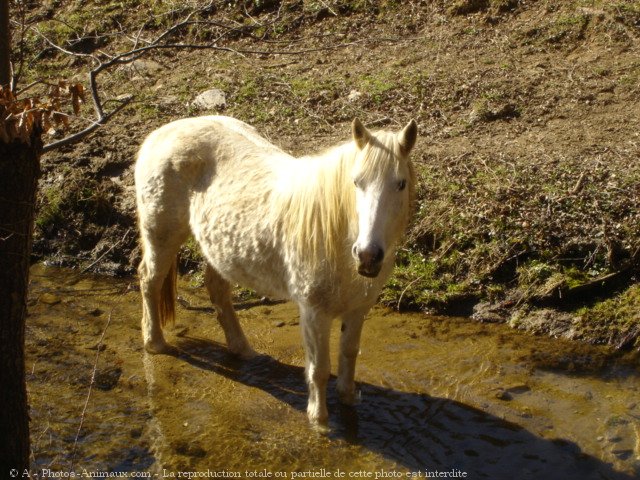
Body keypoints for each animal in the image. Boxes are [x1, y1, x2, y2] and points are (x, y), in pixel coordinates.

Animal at [135, 116, 418, 428]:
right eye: (356, 182)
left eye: (400, 184)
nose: (368, 255)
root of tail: (163, 132)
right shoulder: (314, 312)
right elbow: (319, 368)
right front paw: (319, 420)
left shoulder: (358, 309)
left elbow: (348, 355)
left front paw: (347, 399)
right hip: (162, 237)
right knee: (149, 280)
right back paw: (155, 343)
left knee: (217, 289)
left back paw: (242, 349)